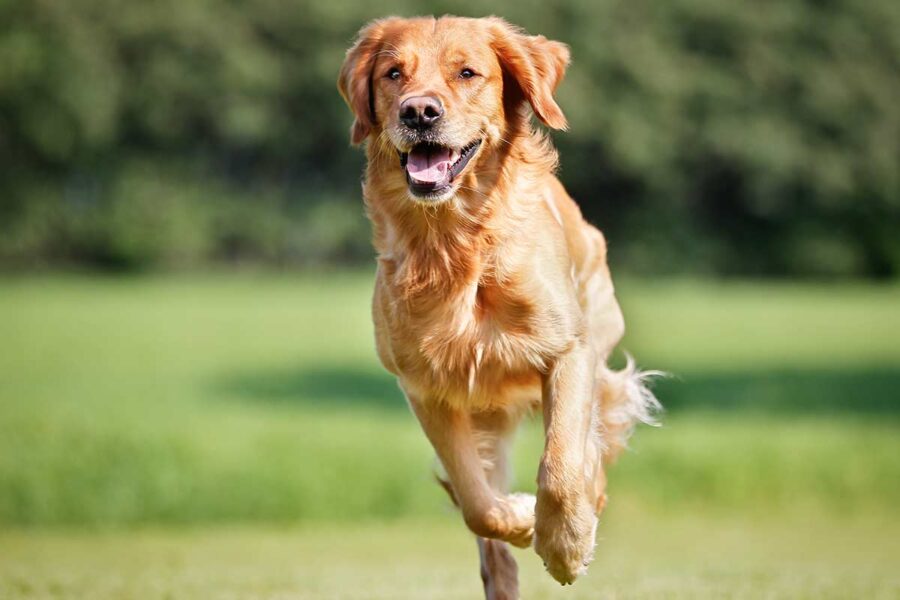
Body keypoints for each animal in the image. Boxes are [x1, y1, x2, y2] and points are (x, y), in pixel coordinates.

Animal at [338, 16, 660, 596]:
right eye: (393, 73)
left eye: (467, 73)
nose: (419, 112)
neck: (455, 243)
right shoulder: (425, 387)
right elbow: (476, 502)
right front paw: (521, 519)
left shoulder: (569, 351)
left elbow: (562, 466)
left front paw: (565, 545)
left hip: (599, 343)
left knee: (593, 451)